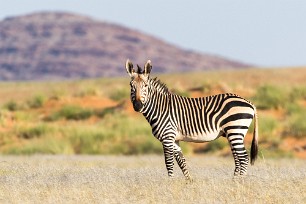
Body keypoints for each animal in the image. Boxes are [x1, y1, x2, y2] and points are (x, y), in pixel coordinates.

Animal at [125, 59, 258, 180]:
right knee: (237, 158)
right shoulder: (175, 139)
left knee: (243, 158)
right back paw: (234, 181)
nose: (138, 106)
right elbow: (181, 162)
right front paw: (189, 182)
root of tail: (250, 103)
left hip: (235, 130)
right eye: (131, 86)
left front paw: (170, 183)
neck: (160, 108)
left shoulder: (167, 137)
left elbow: (169, 163)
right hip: (232, 133)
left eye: (146, 86)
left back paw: (239, 183)